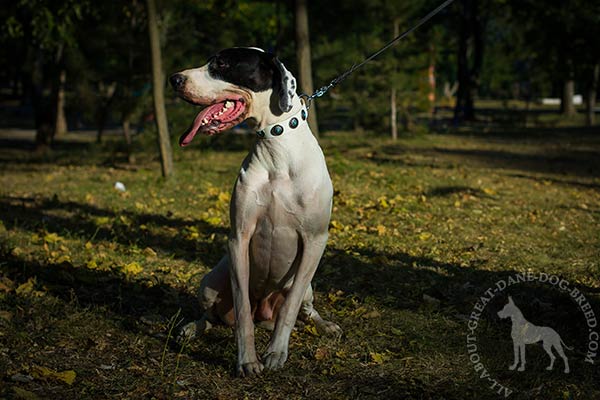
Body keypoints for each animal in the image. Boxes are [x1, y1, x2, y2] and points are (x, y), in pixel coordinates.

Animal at [171, 48, 342, 376]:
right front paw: (247, 360)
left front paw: (275, 352)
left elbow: (289, 309)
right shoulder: (239, 237)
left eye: (222, 64)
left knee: (305, 308)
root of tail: (264, 312)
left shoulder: (315, 240)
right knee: (212, 317)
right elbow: (241, 311)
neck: (277, 148)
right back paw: (190, 329)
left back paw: (325, 325)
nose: (174, 79)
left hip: (308, 287)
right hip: (210, 283)